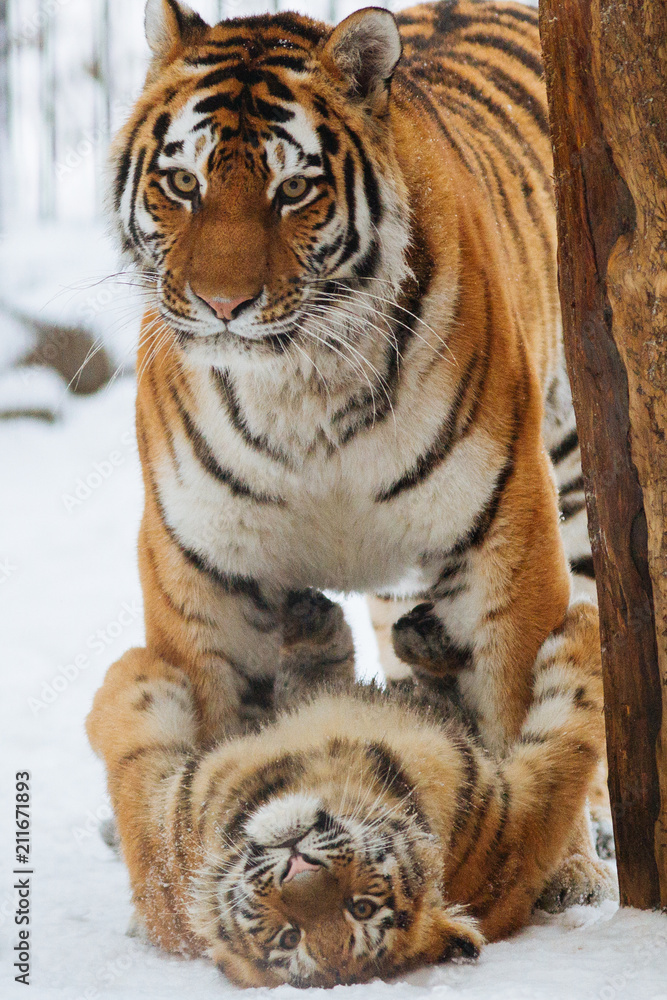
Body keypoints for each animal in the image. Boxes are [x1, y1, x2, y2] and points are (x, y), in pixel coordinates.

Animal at [86, 599, 612, 988]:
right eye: (288, 938)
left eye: (361, 908)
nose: (295, 861)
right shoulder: (165, 826)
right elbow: (129, 738)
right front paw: (134, 671)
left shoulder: (518, 817)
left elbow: (572, 739)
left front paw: (589, 624)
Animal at [109, 0, 612, 903]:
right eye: (183, 184)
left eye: (293, 190)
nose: (221, 304)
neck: (299, 387)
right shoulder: (197, 563)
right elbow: (207, 731)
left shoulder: (503, 530)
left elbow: (522, 697)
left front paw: (555, 867)